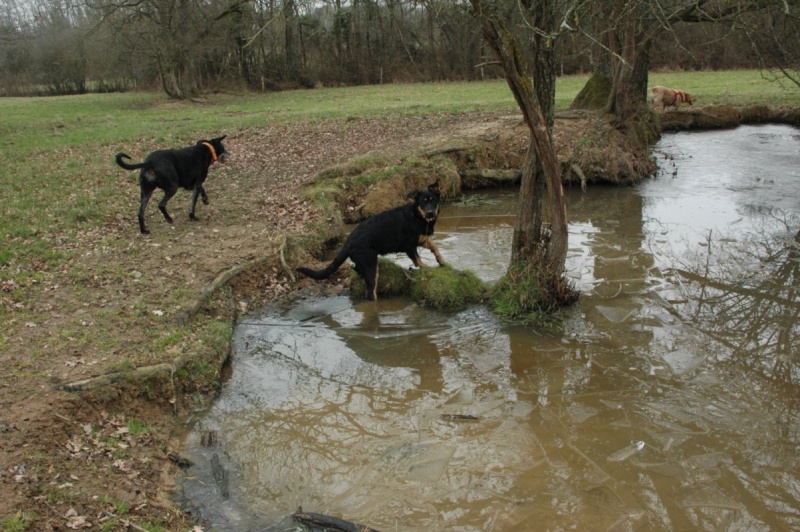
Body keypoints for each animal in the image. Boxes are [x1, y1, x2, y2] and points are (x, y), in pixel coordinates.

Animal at [296, 182, 446, 300]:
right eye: (423, 202)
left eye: (432, 200)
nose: (430, 213)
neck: (417, 215)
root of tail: (349, 242)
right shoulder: (409, 246)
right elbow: (418, 261)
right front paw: (430, 269)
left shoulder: (421, 239)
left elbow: (434, 246)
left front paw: (441, 261)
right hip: (371, 266)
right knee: (370, 294)